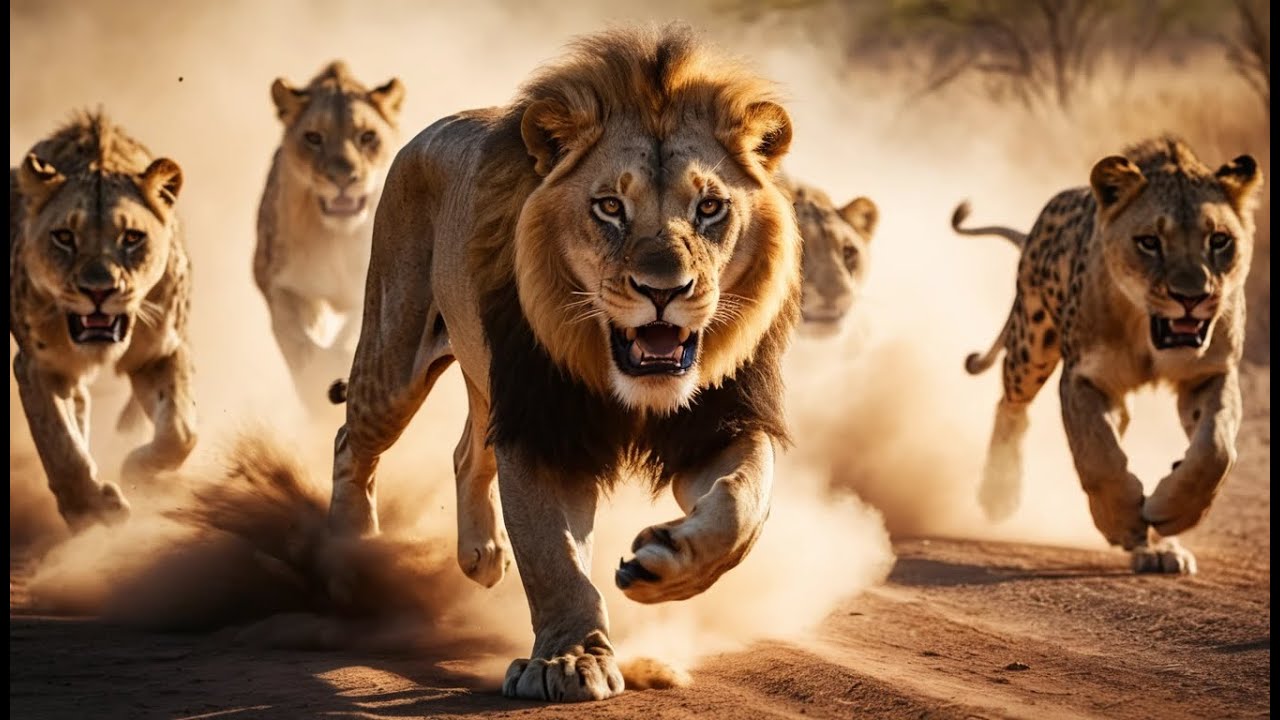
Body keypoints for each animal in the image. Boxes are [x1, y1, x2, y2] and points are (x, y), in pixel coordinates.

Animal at [10, 111, 196, 530]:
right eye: (64, 237)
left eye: (132, 237)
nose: (99, 291)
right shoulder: (39, 366)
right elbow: (61, 448)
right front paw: (92, 512)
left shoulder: (161, 351)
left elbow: (179, 433)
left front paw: (136, 471)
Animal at [253, 61, 404, 410]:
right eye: (313, 138)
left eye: (367, 136)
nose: (342, 178)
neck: (338, 240)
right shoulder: (278, 281)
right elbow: (294, 336)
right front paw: (316, 382)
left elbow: (357, 331)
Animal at [327, 26, 801, 701]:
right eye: (609, 207)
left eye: (710, 207)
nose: (664, 289)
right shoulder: (543, 426)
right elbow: (554, 558)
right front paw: (570, 659)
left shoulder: (718, 423)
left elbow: (742, 507)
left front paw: (666, 566)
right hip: (393, 355)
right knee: (351, 443)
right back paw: (354, 562)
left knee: (467, 450)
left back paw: (481, 555)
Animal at [954, 136, 1262, 575]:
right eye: (1149, 242)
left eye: (1219, 240)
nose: (1191, 297)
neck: (1145, 330)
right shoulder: (1084, 376)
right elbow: (1098, 453)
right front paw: (1122, 522)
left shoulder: (1210, 372)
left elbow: (1215, 450)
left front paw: (1170, 513)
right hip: (1032, 340)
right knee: (1011, 406)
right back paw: (999, 496)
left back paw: (1162, 549)